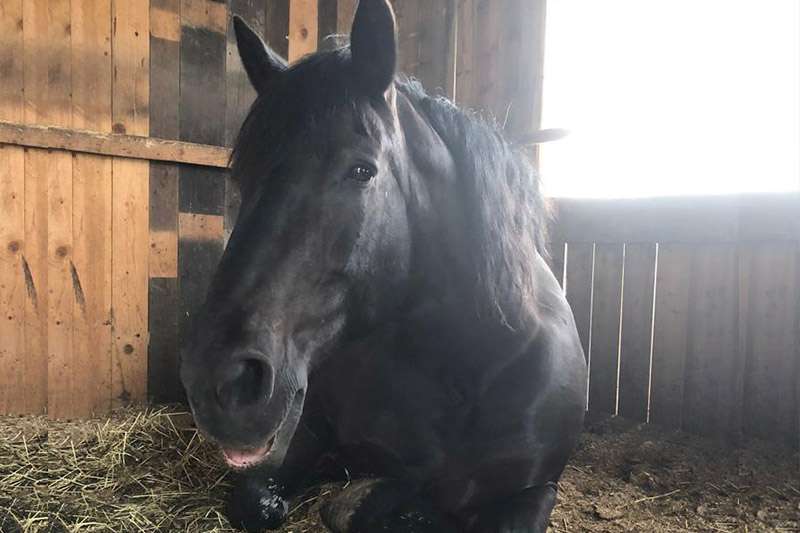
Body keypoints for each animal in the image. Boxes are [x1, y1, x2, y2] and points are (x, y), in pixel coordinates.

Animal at [178, 2, 584, 528]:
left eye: (362, 170)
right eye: (243, 176)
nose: (220, 383)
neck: (465, 364)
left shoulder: (536, 490)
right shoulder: (310, 440)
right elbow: (266, 502)